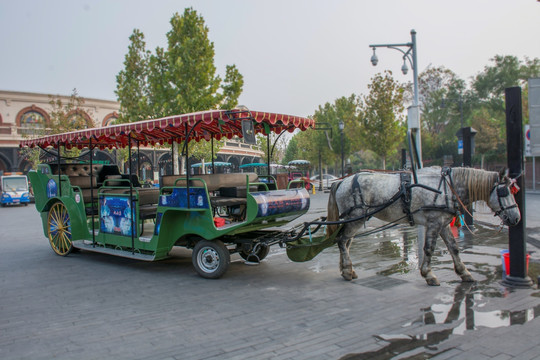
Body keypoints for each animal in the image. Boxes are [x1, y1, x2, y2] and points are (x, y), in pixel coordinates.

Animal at [326, 167, 520, 286]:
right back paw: (347, 270)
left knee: (346, 242)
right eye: (504, 192)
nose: (517, 218)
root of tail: (341, 182)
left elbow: (454, 248)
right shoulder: (434, 222)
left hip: (353, 219)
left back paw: (347, 269)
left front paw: (464, 273)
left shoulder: (443, 223)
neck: (447, 188)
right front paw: (429, 274)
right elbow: (428, 248)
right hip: (355, 218)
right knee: (342, 240)